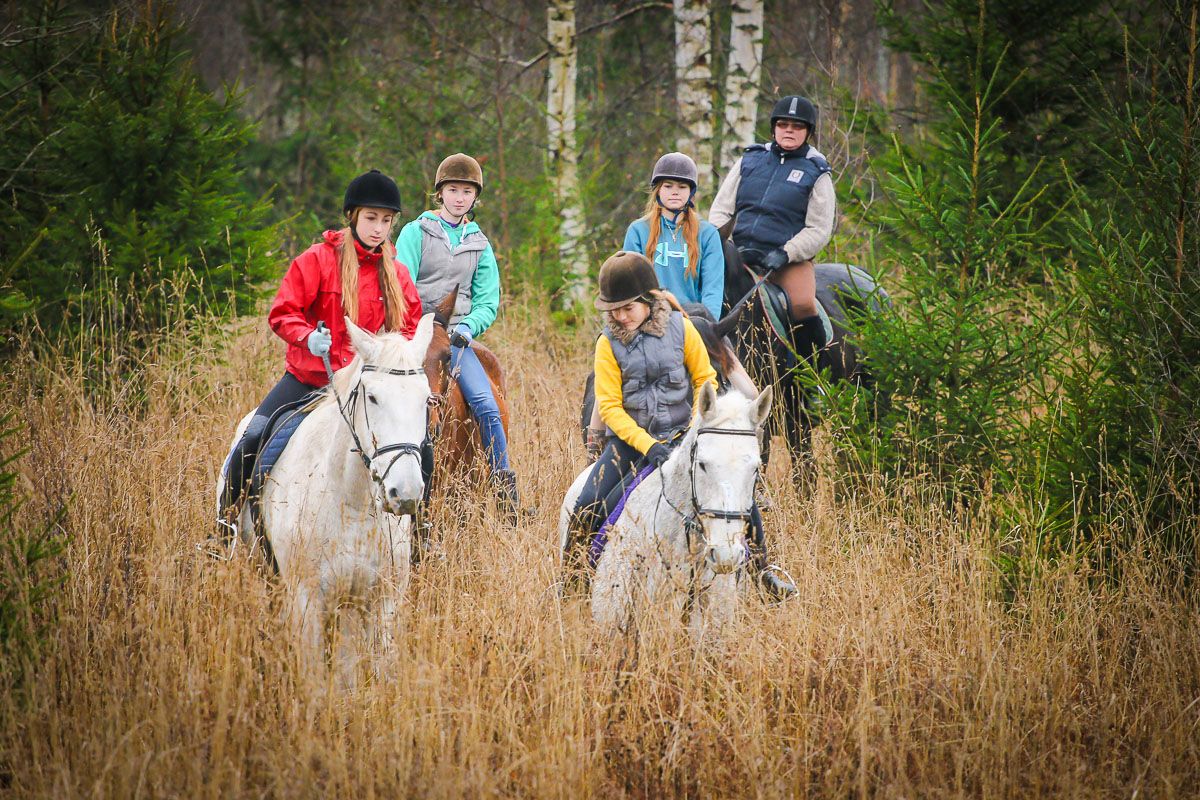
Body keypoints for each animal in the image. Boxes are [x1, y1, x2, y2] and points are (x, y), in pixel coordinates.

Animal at [220, 311, 436, 681]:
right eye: (372, 397)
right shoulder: (305, 601)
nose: (405, 492)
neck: (351, 502)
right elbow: (315, 680)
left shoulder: (381, 601)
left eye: (424, 399)